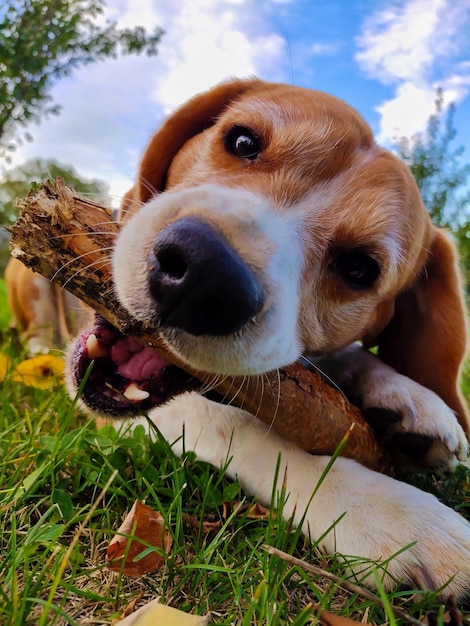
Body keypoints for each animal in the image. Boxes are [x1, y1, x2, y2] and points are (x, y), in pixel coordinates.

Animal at [68, 78, 470, 596]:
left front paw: (411, 397)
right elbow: (246, 429)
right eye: (243, 142)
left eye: (360, 269)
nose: (206, 275)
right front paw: (396, 515)